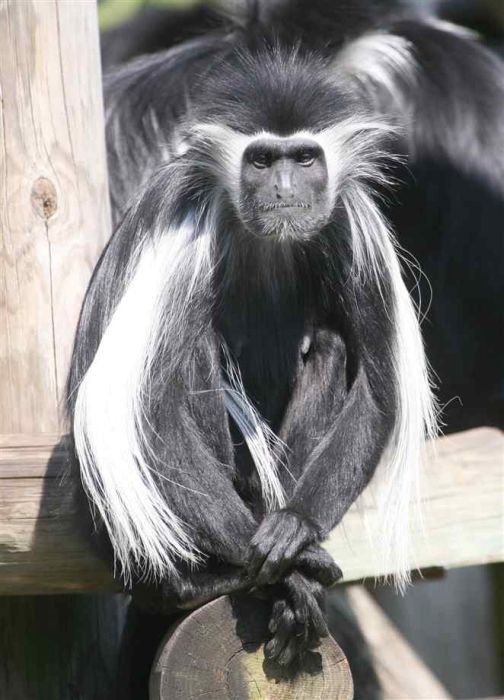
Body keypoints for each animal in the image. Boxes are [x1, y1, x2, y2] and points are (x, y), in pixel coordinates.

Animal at [69, 0, 502, 668]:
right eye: (260, 161)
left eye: (304, 160)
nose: (284, 189)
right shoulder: (186, 223)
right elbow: (145, 412)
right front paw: (272, 563)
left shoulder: (350, 223)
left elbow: (378, 391)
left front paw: (295, 535)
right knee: (184, 365)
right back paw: (205, 580)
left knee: (331, 348)